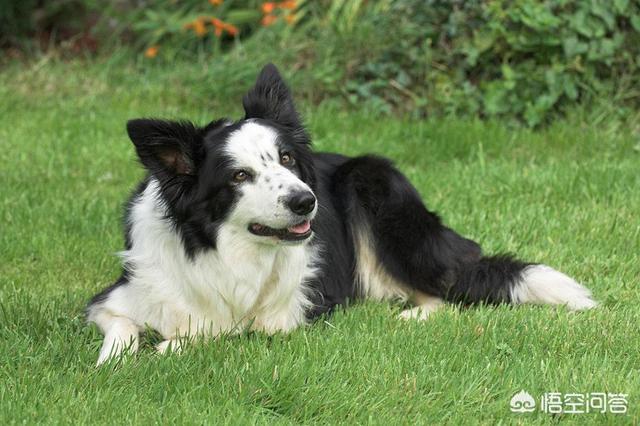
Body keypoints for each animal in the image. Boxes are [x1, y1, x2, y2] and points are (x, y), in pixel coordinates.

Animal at [87, 65, 596, 364]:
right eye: (239, 176)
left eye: (286, 158)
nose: (305, 201)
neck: (226, 253)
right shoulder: (110, 300)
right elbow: (122, 332)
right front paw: (115, 362)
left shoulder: (289, 317)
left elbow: (223, 331)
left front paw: (167, 347)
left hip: (375, 184)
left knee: (447, 287)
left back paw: (412, 315)